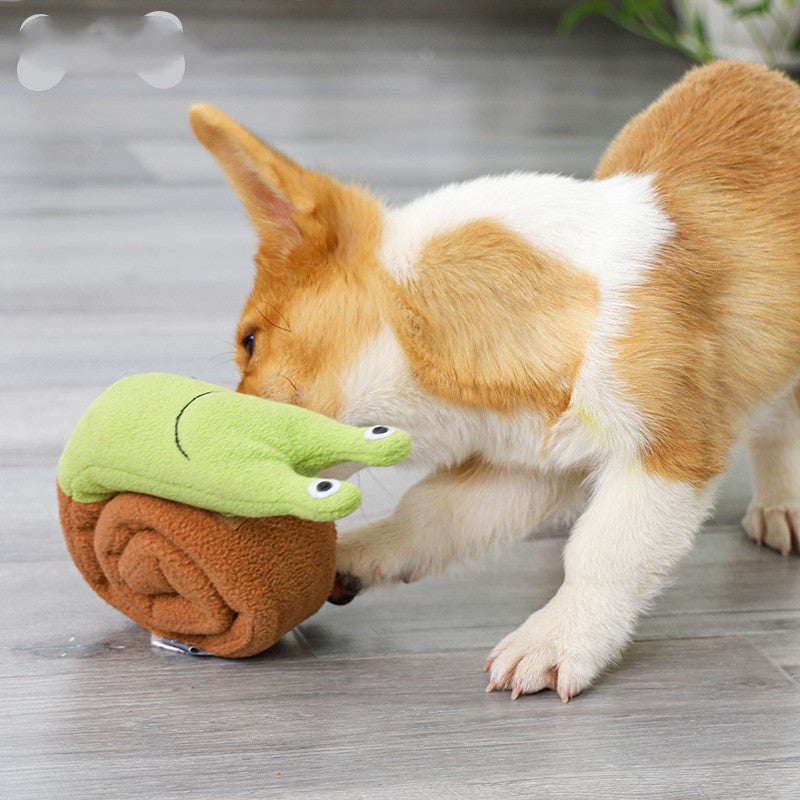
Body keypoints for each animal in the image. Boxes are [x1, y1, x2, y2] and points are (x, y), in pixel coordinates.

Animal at [191, 61, 800, 700]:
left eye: (249, 343)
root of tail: (768, 74)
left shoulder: (668, 455)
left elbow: (606, 552)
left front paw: (556, 639)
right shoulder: (525, 467)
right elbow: (429, 512)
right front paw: (357, 551)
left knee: (778, 422)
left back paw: (780, 506)